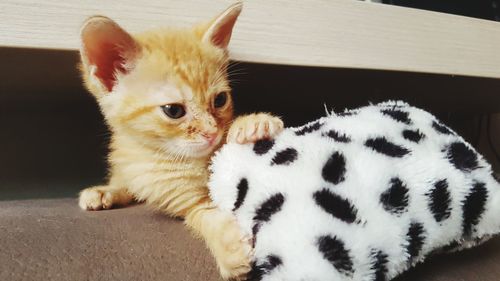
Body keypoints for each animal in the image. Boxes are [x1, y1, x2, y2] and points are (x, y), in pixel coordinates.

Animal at [76, 2, 284, 278]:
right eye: (173, 111)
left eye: (220, 100)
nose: (212, 133)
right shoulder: (178, 196)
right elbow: (202, 215)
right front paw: (229, 250)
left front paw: (250, 123)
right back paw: (104, 191)